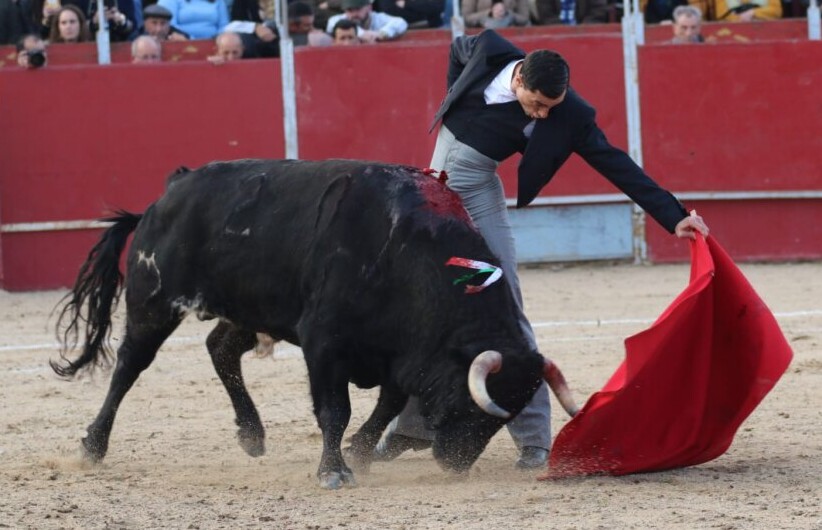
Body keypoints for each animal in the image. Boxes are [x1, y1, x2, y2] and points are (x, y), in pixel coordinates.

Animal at [54, 159, 580, 488]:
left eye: (506, 417)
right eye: (473, 406)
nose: (455, 465)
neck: (408, 252)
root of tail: (169, 191)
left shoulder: (399, 352)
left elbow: (388, 404)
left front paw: (361, 455)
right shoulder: (324, 343)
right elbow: (334, 409)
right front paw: (334, 470)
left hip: (250, 308)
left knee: (220, 348)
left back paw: (252, 434)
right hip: (154, 301)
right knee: (129, 365)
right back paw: (92, 445)